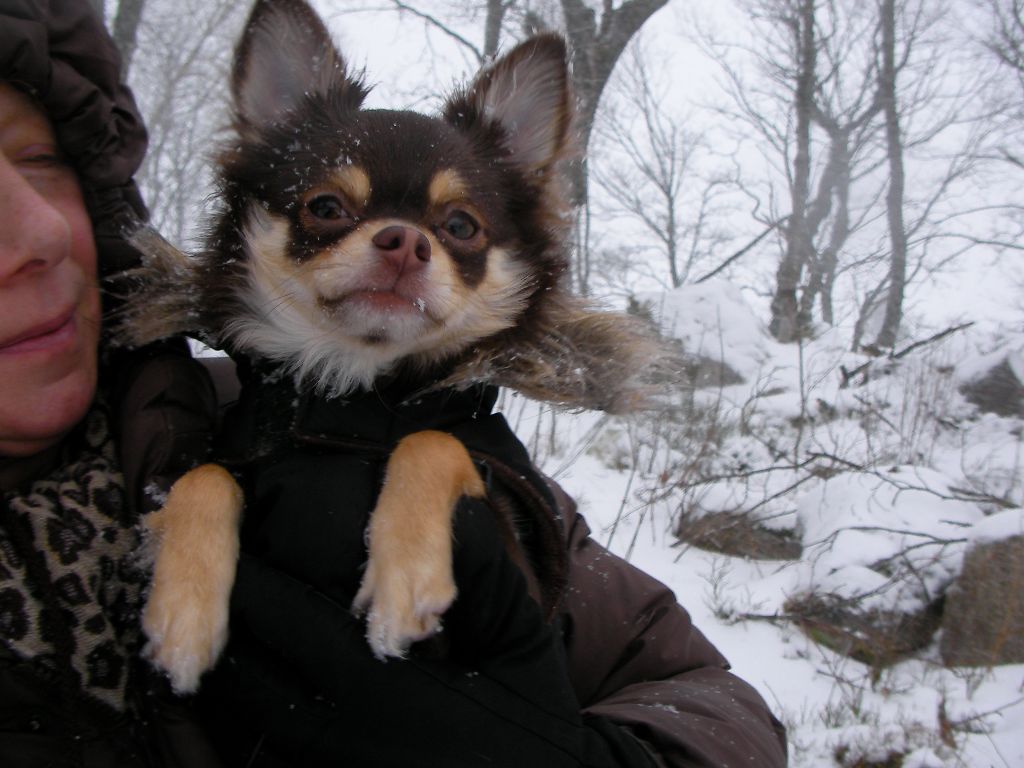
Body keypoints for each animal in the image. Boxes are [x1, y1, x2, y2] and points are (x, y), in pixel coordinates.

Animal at [121, 0, 663, 696]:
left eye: (460, 225)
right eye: (325, 206)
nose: (405, 240)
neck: (356, 385)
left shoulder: (517, 554)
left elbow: (430, 439)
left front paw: (403, 578)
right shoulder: (239, 456)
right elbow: (206, 472)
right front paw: (184, 609)